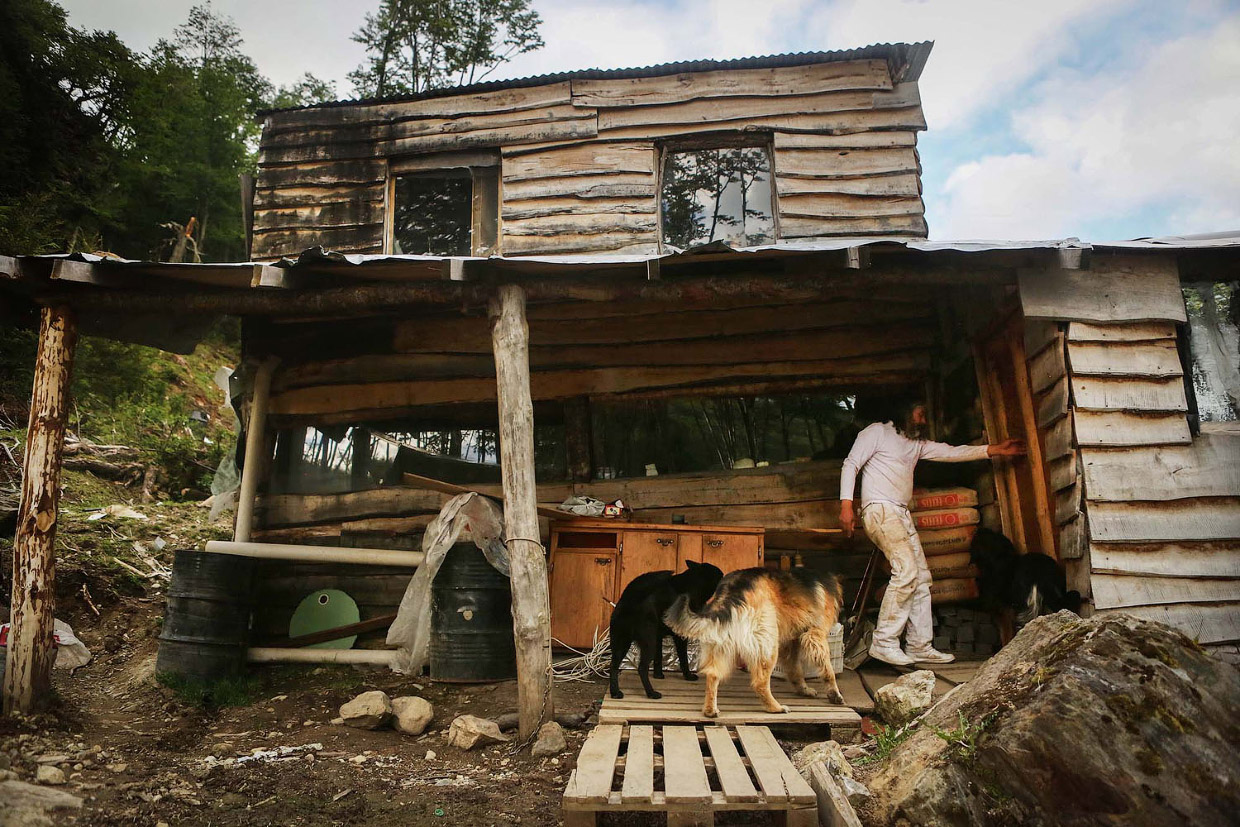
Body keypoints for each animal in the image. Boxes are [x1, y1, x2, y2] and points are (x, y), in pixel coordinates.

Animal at [607, 560, 724, 704]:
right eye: (717, 573)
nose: (724, 574)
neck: (690, 585)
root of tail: (630, 599)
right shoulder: (679, 637)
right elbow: (684, 659)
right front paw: (688, 675)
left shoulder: (658, 638)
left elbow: (658, 659)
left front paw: (658, 675)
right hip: (647, 642)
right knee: (642, 668)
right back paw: (651, 693)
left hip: (621, 643)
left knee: (613, 666)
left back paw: (615, 692)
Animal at [664, 570, 848, 719]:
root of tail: (733, 588)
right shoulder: (815, 636)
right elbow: (828, 670)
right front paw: (835, 694)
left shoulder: (791, 642)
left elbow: (796, 670)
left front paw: (803, 689)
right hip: (767, 644)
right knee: (760, 682)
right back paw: (775, 708)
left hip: (721, 644)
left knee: (713, 675)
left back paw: (710, 710)